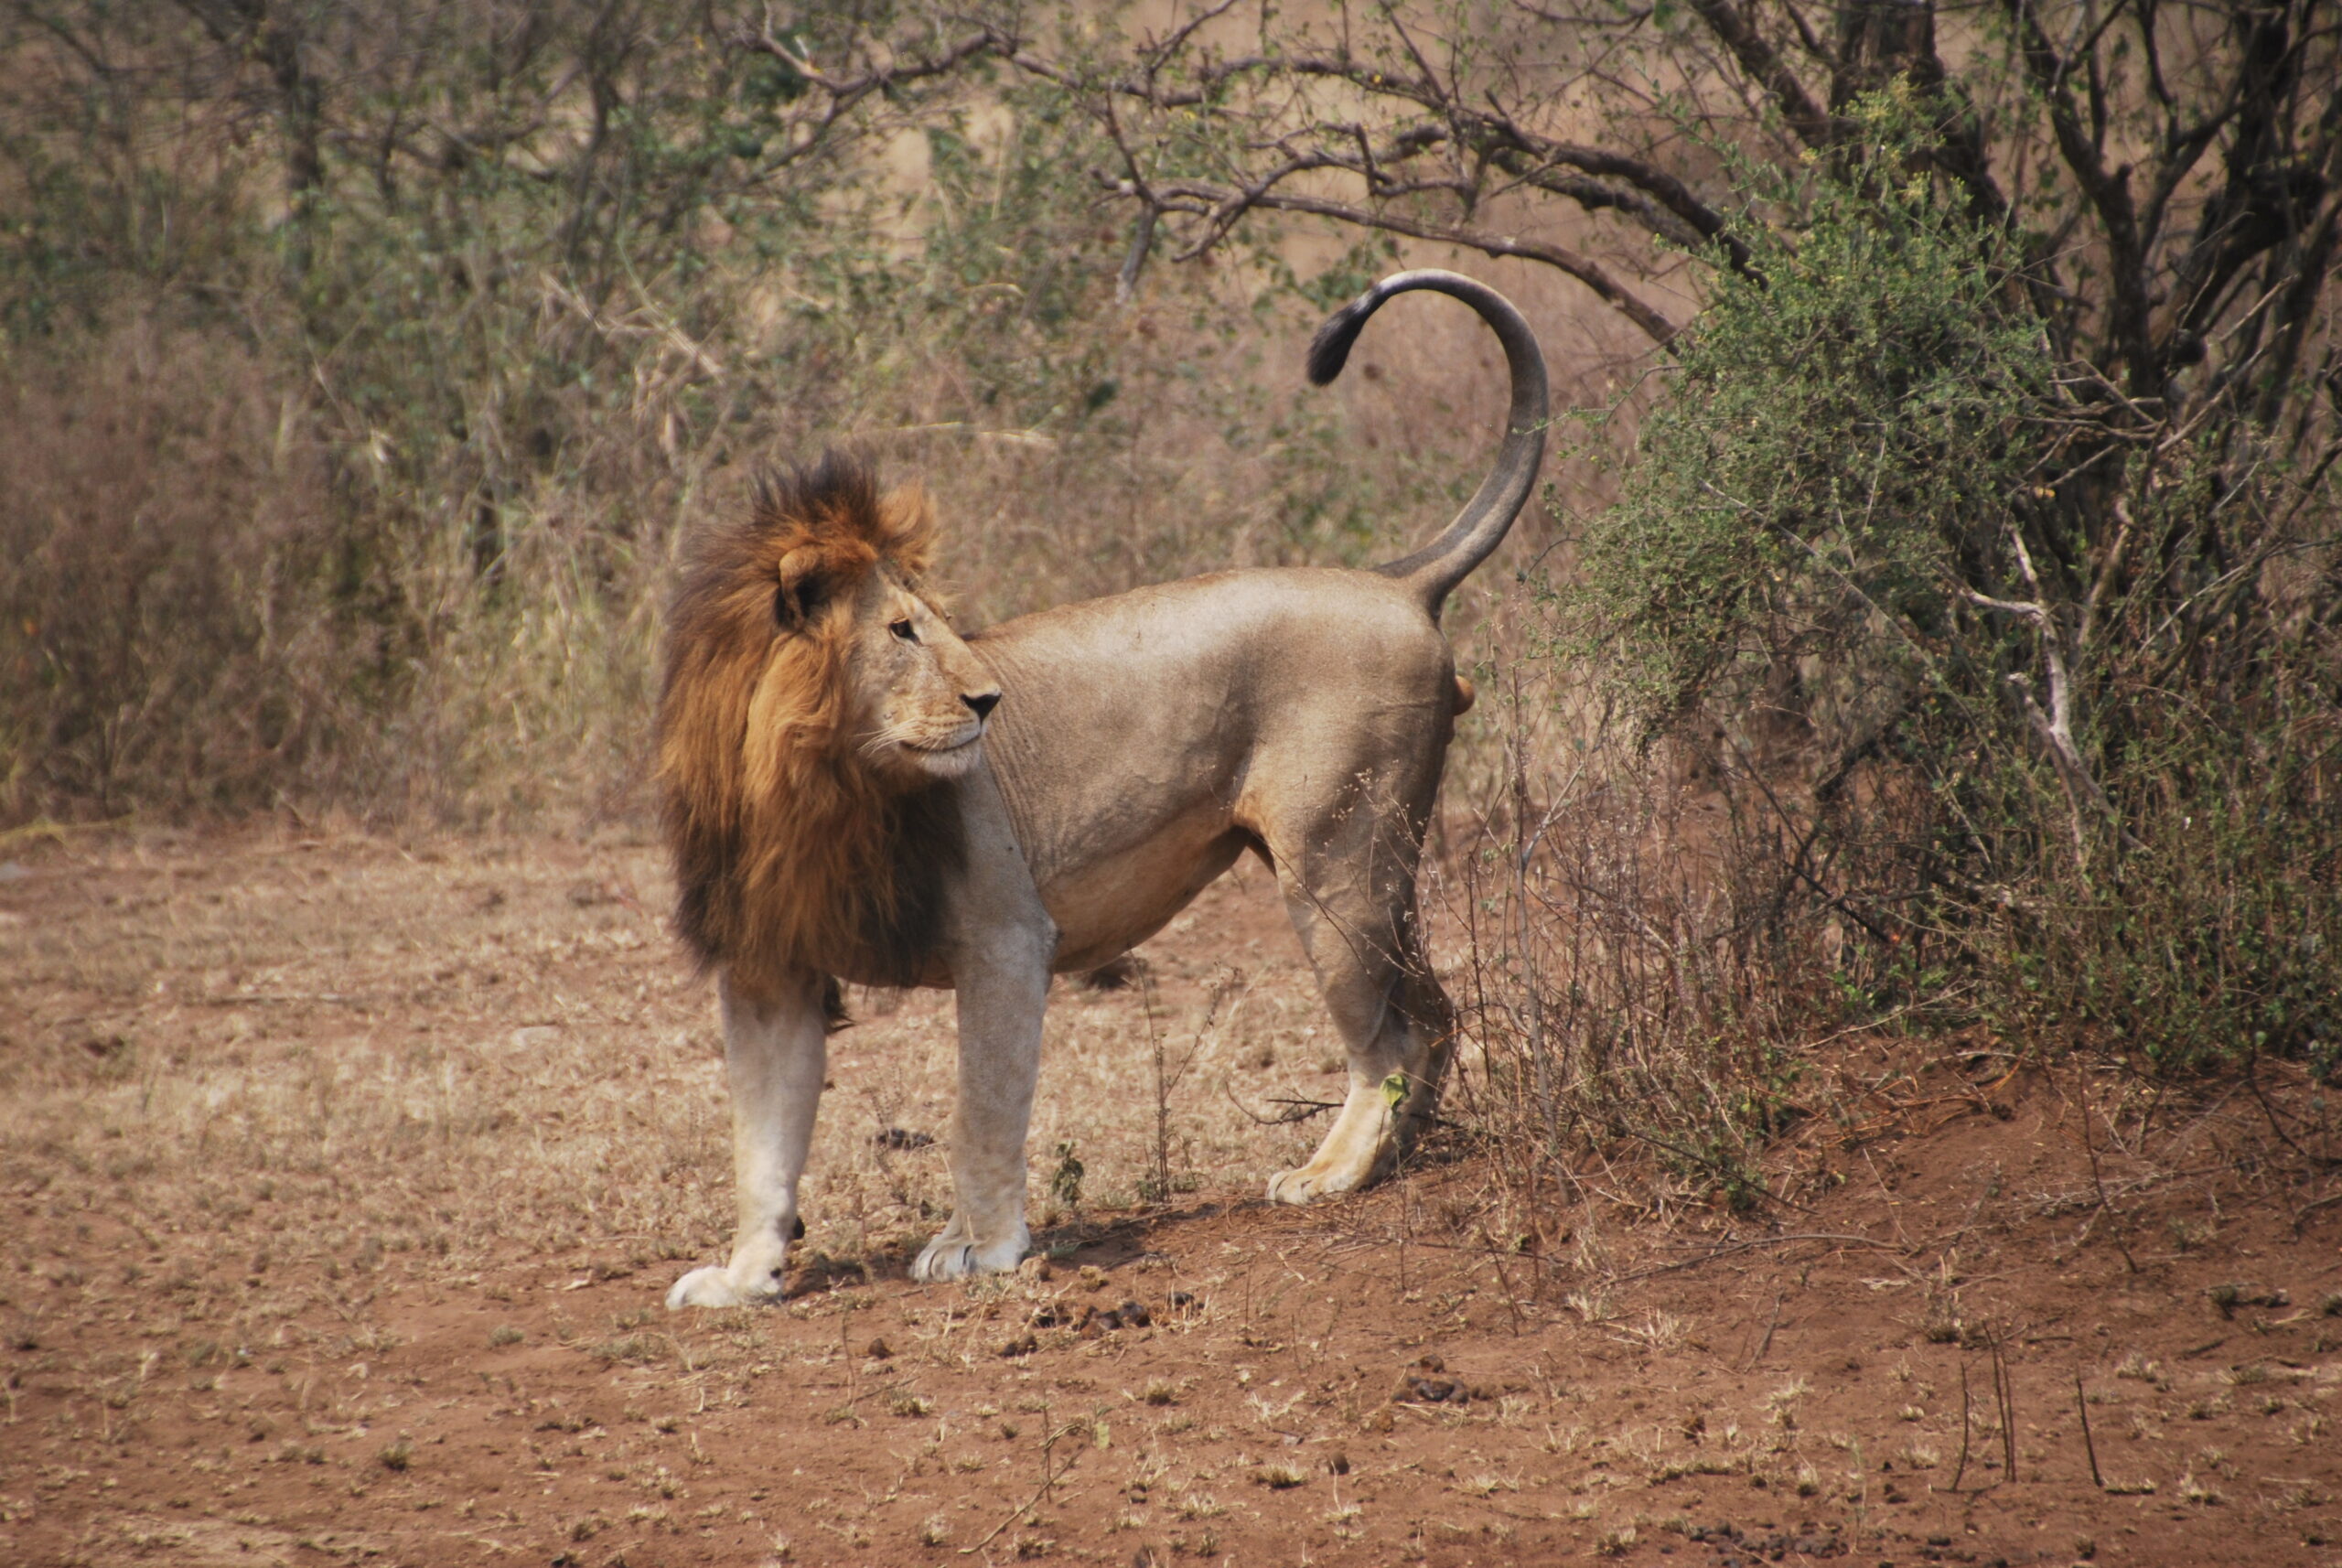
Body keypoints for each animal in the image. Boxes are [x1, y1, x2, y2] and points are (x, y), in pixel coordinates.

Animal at [661, 269, 1546, 1308]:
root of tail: (1397, 582)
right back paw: (1396, 1160)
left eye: (933, 620)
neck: (809, 779)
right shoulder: (767, 966)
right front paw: (742, 1277)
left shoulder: (1005, 936)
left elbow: (982, 1110)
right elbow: (761, 1143)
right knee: (1438, 1017)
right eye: (901, 631)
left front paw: (981, 1246)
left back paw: (1332, 1173)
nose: (989, 699)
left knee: (1391, 1040)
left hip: (1337, 864)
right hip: (1372, 863)